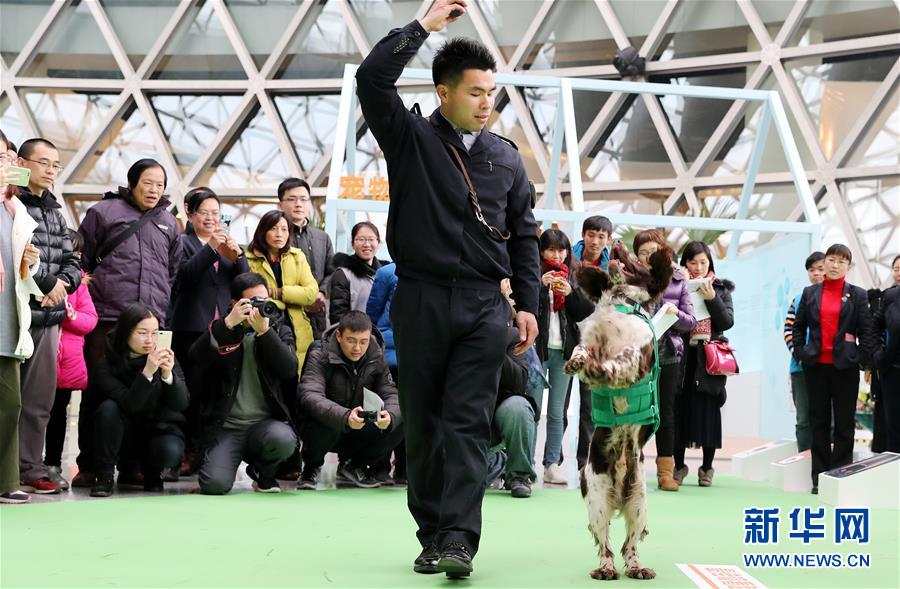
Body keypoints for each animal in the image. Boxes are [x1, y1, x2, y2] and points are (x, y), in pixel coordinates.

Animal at [568, 242, 672, 580]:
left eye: (638, 258)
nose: (615, 244)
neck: (620, 302)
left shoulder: (635, 352)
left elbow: (619, 361)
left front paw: (599, 370)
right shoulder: (591, 340)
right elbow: (581, 349)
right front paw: (578, 363)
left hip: (638, 502)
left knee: (630, 545)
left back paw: (638, 568)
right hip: (597, 498)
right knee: (606, 545)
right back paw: (605, 569)